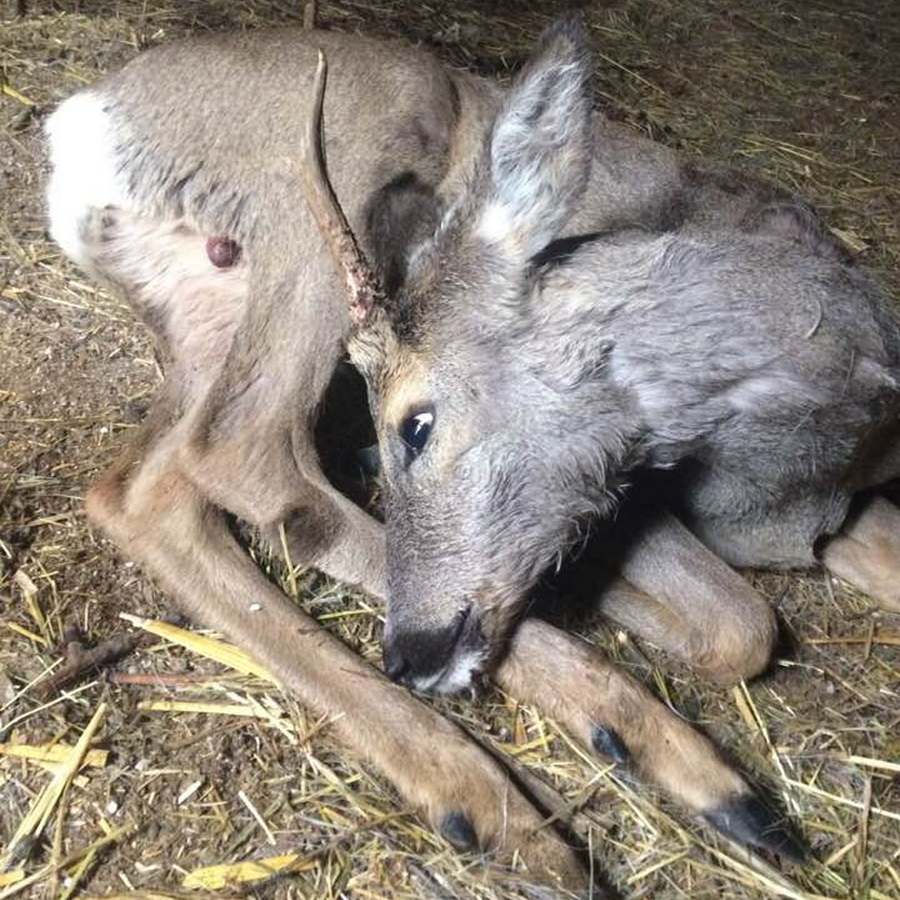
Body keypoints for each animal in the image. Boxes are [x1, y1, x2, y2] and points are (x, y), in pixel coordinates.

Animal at [42, 14, 892, 892]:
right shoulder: (622, 473)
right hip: (345, 155)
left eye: (417, 426)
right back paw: (620, 764)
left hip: (207, 312)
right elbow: (740, 621)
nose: (409, 652)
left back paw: (486, 788)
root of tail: (80, 130)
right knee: (243, 450)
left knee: (142, 488)